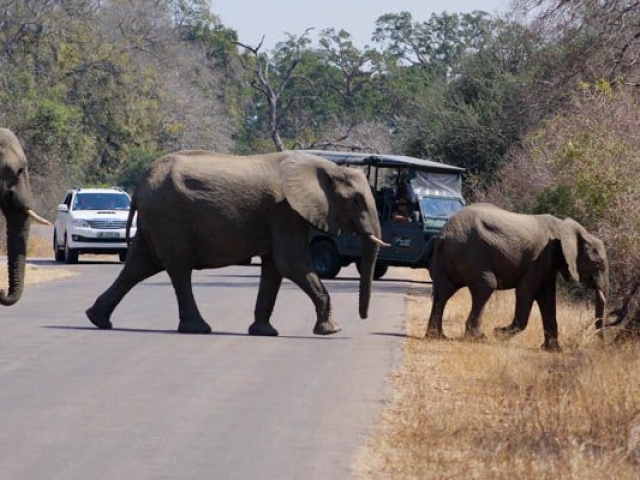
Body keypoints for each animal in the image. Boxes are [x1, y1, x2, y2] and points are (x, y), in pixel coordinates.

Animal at [84, 152, 384, 336]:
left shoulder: (280, 216)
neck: (327, 166)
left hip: (156, 220)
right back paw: (198, 328)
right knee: (178, 268)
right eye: (356, 200)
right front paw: (332, 330)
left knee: (139, 265)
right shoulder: (284, 211)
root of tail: (141, 183)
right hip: (169, 217)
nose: (364, 317)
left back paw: (97, 320)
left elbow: (275, 267)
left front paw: (265, 333)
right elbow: (292, 263)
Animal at [424, 201, 608, 350]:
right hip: (470, 252)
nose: (600, 342)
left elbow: (547, 298)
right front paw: (498, 333)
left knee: (443, 291)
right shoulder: (541, 257)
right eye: (598, 264)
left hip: (449, 257)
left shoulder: (549, 263)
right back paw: (479, 338)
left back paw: (436, 336)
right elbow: (526, 292)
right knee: (485, 286)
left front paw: (553, 350)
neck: (566, 228)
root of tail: (442, 234)